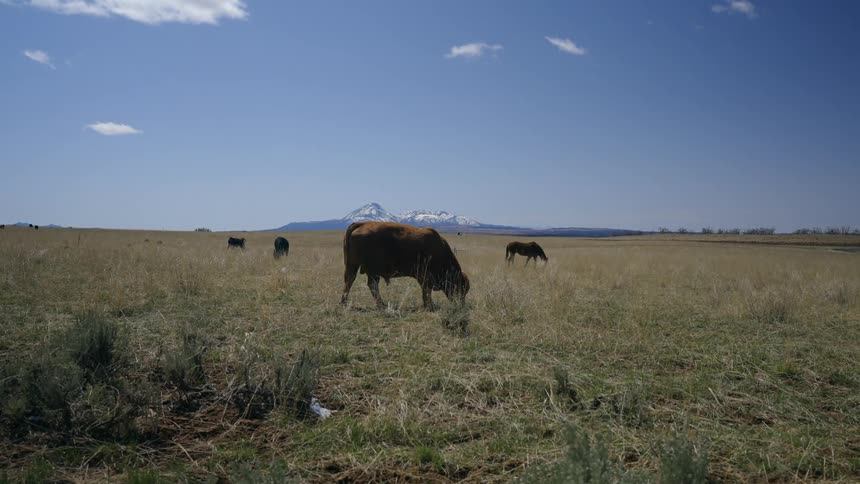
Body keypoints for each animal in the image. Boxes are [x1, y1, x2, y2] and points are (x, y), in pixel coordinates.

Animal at [340, 222, 469, 309]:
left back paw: (345, 302)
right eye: (460, 287)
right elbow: (426, 292)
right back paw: (380, 304)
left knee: (352, 281)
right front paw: (430, 305)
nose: (461, 304)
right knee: (368, 284)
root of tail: (361, 224)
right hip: (368, 270)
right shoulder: (424, 277)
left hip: (355, 267)